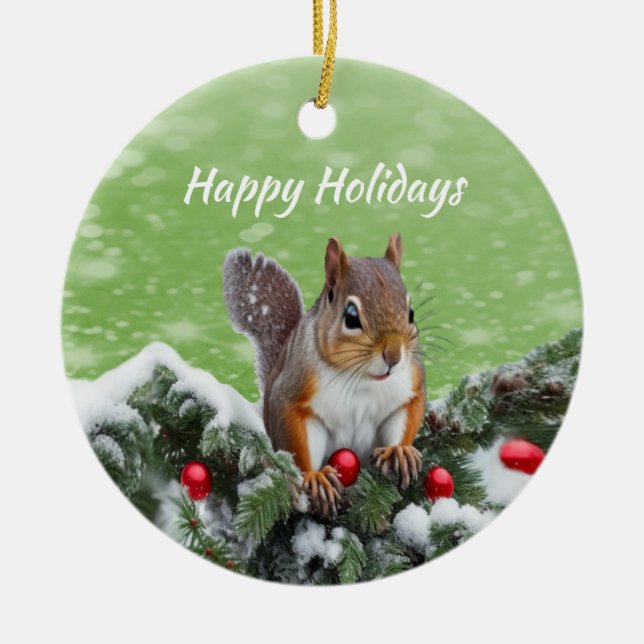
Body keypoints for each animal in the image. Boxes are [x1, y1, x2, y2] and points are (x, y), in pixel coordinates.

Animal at [223, 233, 426, 519]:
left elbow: (409, 411)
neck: (362, 378)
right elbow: (295, 434)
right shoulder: (292, 390)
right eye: (351, 317)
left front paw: (400, 451)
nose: (394, 356)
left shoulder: (410, 385)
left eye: (411, 313)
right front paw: (314, 477)